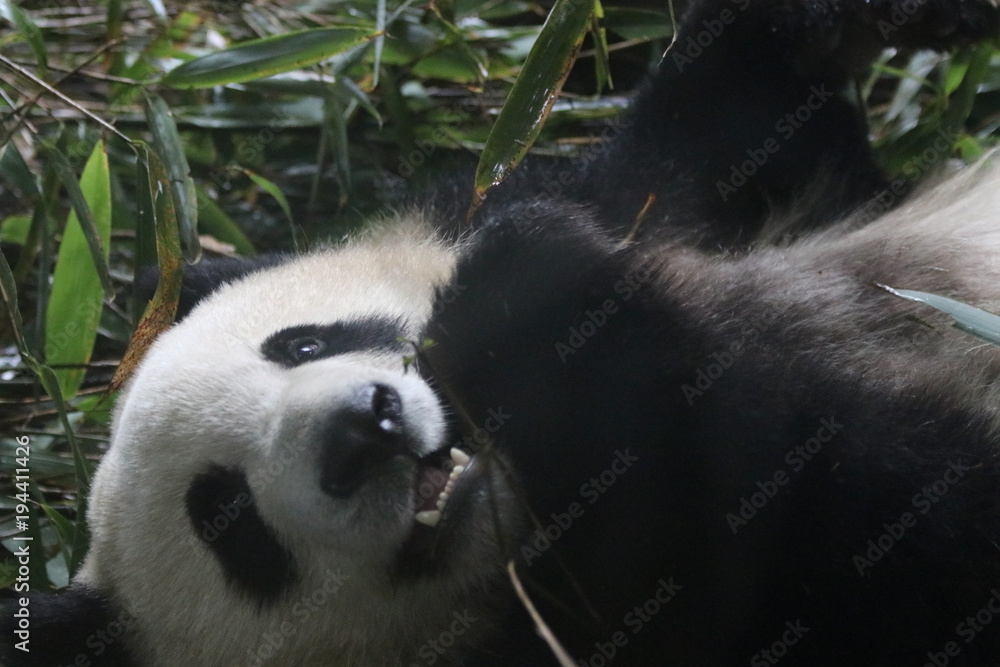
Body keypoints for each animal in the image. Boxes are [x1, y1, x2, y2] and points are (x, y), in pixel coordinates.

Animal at [6, 0, 1000, 665]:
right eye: (230, 522)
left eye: (301, 343)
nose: (365, 426)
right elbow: (875, 527)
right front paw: (545, 331)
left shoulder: (655, 196)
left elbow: (712, 128)